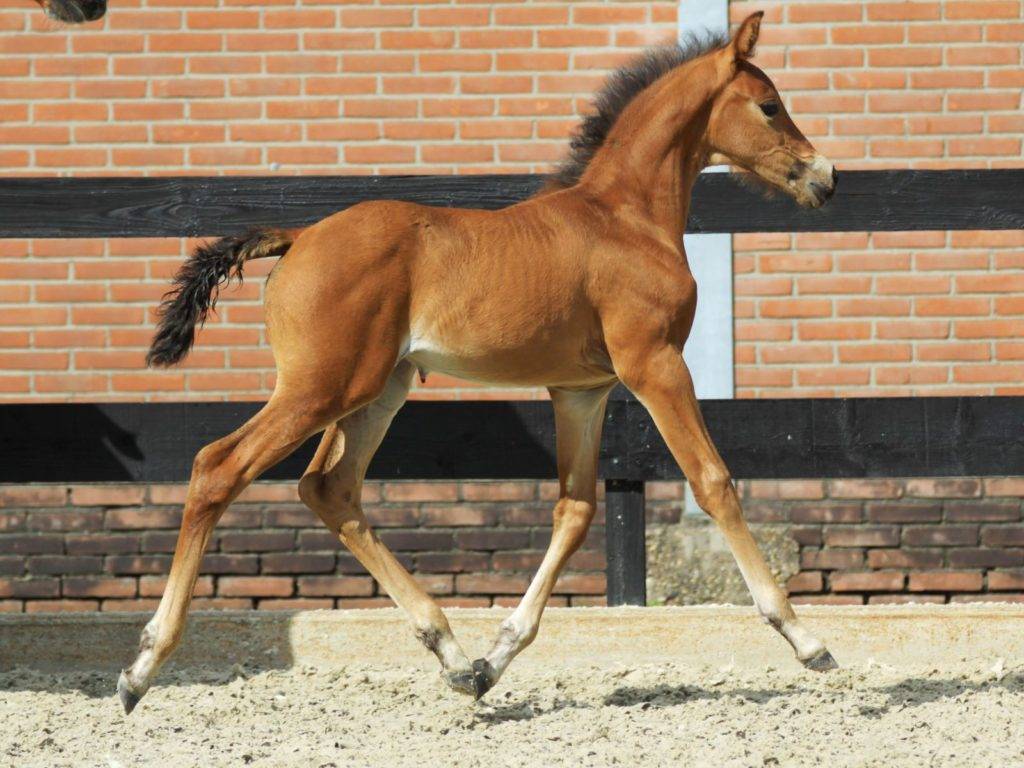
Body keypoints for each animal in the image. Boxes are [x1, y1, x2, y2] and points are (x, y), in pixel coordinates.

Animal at [118, 12, 838, 715]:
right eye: (769, 106)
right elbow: (714, 482)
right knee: (219, 467)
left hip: (378, 389)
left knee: (329, 487)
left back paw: (453, 655)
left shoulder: (582, 391)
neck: (626, 219)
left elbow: (575, 510)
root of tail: (298, 238)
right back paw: (142, 667)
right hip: (321, 386)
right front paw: (807, 642)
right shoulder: (654, 365)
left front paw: (495, 660)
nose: (825, 177)